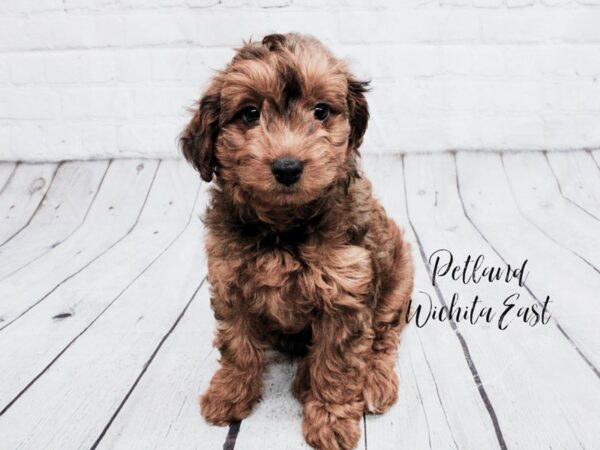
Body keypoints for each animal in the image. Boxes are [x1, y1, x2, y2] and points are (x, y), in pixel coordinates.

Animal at [180, 33, 414, 448]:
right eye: (250, 114)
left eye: (320, 111)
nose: (287, 167)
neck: (283, 226)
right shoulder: (230, 282)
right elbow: (237, 346)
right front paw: (230, 393)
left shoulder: (345, 292)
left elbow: (337, 364)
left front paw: (331, 421)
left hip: (397, 280)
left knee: (382, 338)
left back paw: (370, 380)